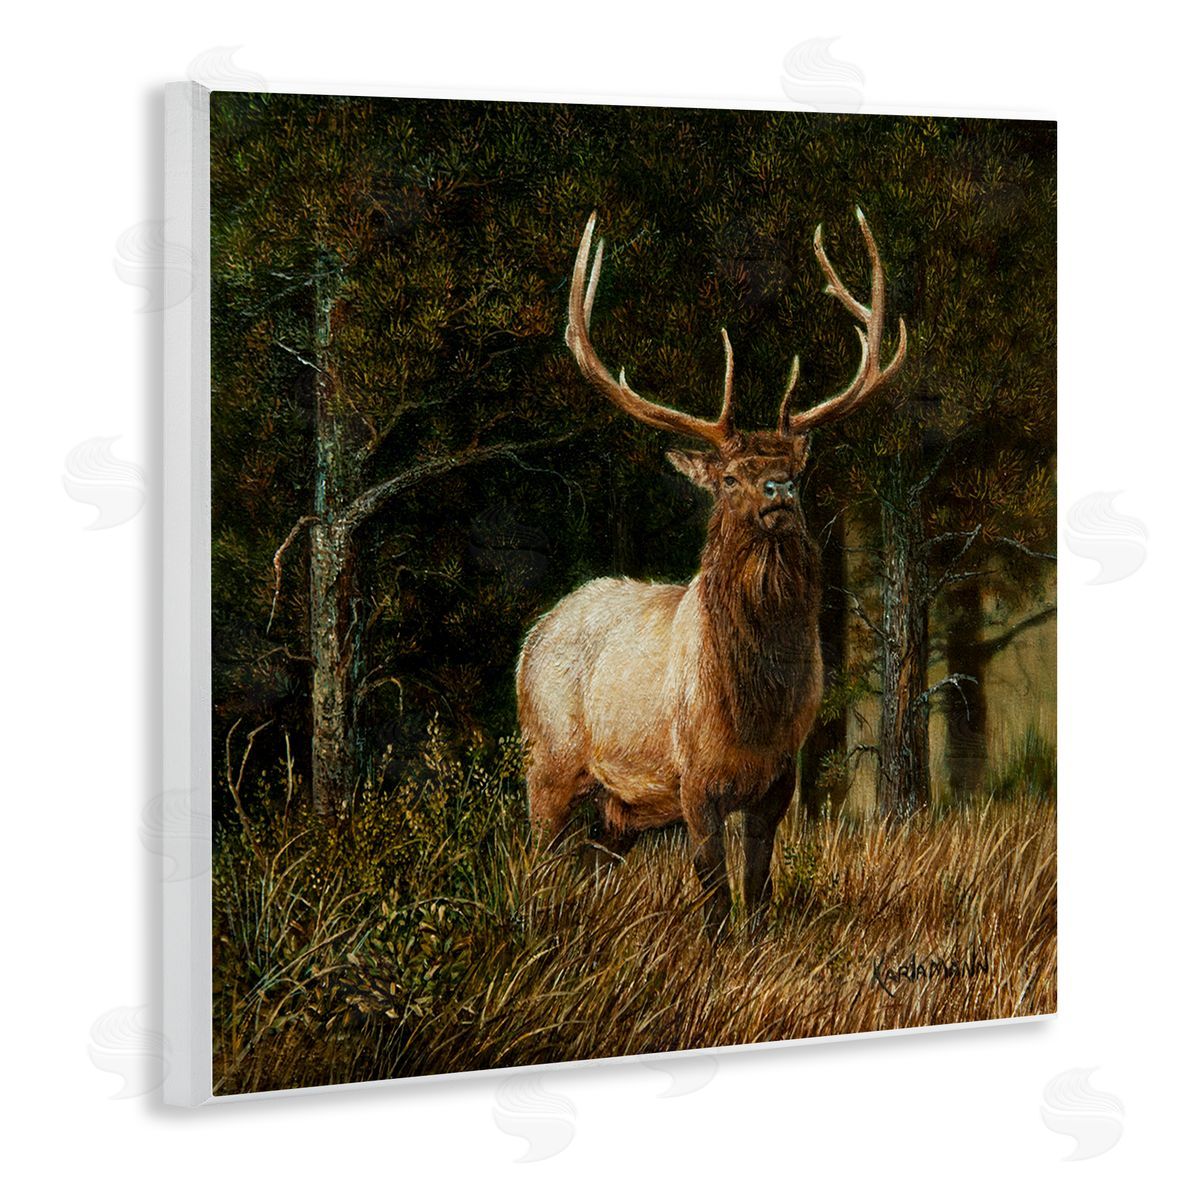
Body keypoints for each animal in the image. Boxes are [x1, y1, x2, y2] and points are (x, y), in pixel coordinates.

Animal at [516, 207, 907, 938]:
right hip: (547, 760)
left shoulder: (781, 777)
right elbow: (713, 884)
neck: (751, 709)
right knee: (537, 856)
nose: (778, 490)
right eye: (730, 477)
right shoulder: (691, 776)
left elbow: (758, 880)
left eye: (796, 469)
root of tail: (536, 632)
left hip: (619, 808)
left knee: (592, 863)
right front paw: (717, 944)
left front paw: (757, 942)